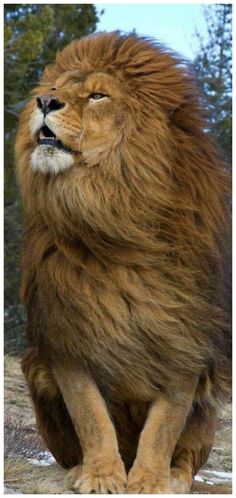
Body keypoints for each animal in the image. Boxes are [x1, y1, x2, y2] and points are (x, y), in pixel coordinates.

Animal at [15, 32, 231, 494]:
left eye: (98, 95)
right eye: (55, 88)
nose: (43, 100)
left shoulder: (185, 340)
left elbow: (163, 426)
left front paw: (149, 481)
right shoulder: (66, 335)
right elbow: (91, 415)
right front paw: (101, 476)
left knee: (187, 455)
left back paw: (174, 476)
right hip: (33, 365)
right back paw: (78, 468)